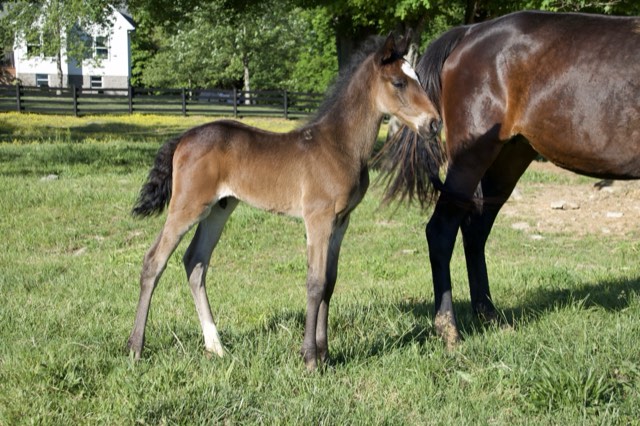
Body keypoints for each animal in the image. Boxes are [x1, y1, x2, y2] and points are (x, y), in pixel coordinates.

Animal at [126, 33, 440, 370]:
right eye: (398, 82)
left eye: (416, 77)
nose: (434, 123)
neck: (339, 145)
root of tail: (183, 138)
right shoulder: (318, 218)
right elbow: (315, 282)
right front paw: (310, 359)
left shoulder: (342, 221)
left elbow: (330, 282)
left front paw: (325, 354)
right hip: (188, 206)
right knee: (154, 261)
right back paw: (136, 348)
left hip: (219, 209)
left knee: (195, 262)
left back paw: (216, 347)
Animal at [382, 10, 640, 348]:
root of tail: (469, 33)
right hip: (471, 159)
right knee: (441, 231)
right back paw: (449, 330)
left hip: (509, 159)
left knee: (475, 231)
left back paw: (489, 315)